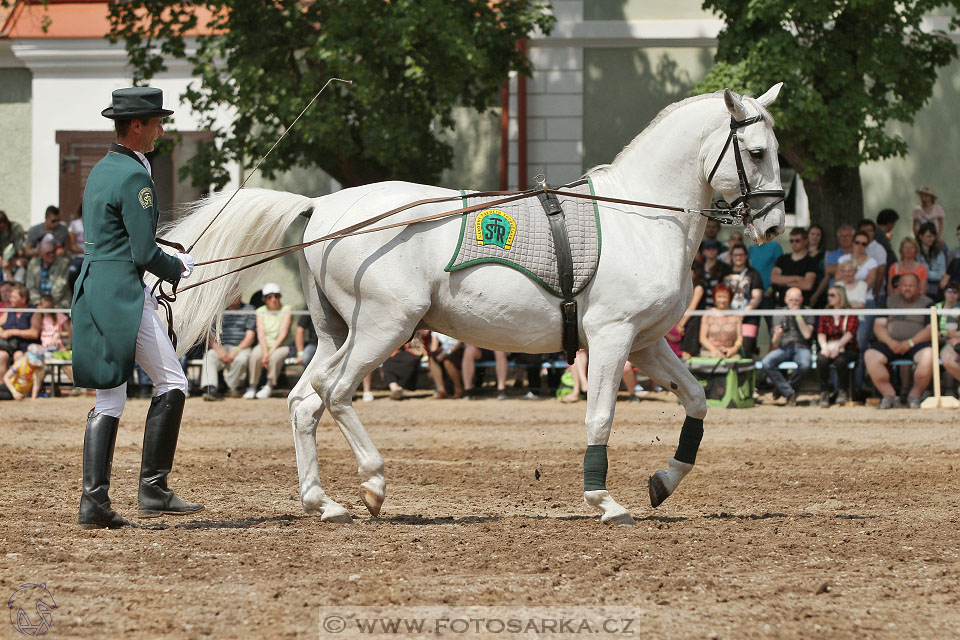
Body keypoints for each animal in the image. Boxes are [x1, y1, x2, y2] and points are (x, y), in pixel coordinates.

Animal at [165, 86, 784, 524]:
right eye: (756, 153)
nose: (775, 225)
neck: (640, 218)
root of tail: (323, 206)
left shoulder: (647, 343)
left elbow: (698, 399)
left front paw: (663, 481)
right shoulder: (612, 338)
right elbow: (601, 415)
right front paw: (604, 501)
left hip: (335, 332)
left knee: (302, 402)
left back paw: (324, 503)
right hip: (384, 327)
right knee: (334, 392)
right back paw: (373, 485)